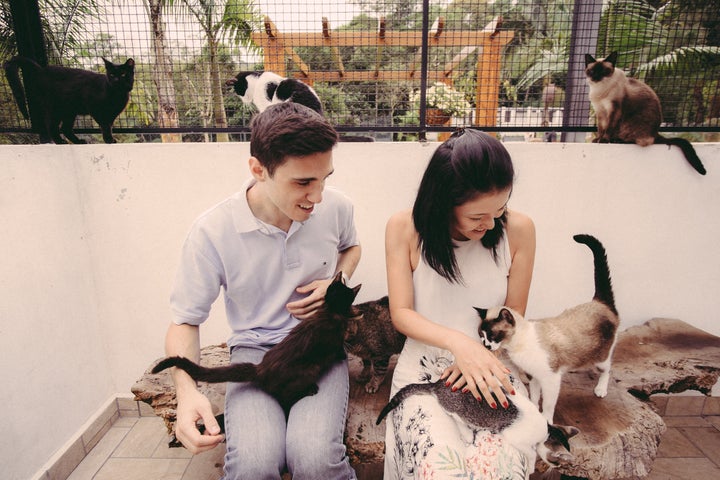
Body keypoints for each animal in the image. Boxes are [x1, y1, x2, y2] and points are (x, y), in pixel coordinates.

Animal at [155, 272, 362, 414]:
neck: (330, 310)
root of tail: (261, 368)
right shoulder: (335, 340)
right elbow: (339, 347)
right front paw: (343, 352)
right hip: (308, 370)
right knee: (284, 397)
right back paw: (308, 391)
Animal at [376, 378, 580, 476]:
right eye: (558, 462)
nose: (553, 468)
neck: (547, 431)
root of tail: (438, 384)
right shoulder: (515, 437)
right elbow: (530, 452)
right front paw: (530, 466)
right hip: (456, 408)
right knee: (455, 416)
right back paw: (467, 431)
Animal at [478, 235, 620, 424]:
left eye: (493, 335)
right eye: (481, 335)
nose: (486, 345)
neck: (517, 346)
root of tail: (599, 302)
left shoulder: (551, 379)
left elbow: (547, 403)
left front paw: (546, 419)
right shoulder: (535, 377)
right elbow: (534, 396)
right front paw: (535, 411)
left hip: (601, 358)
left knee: (607, 369)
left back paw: (600, 390)